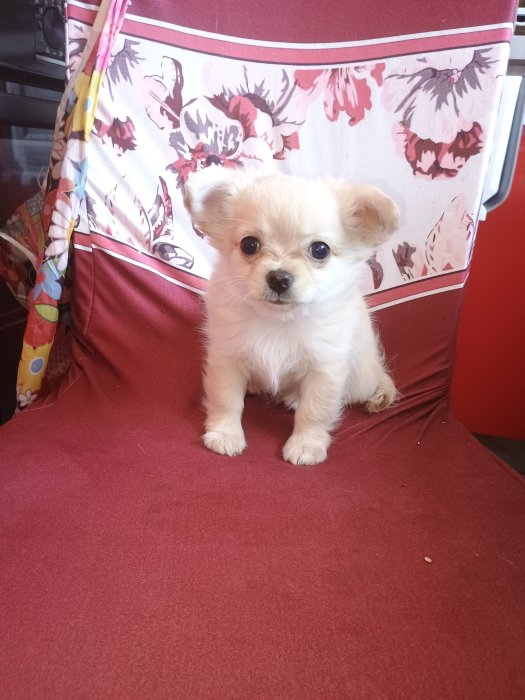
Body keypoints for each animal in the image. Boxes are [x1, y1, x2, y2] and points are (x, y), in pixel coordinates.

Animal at [184, 167, 399, 465]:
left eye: (320, 250)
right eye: (249, 244)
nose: (279, 278)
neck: (278, 321)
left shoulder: (324, 370)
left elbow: (315, 412)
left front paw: (306, 445)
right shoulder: (227, 359)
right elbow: (226, 400)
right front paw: (225, 435)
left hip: (362, 379)